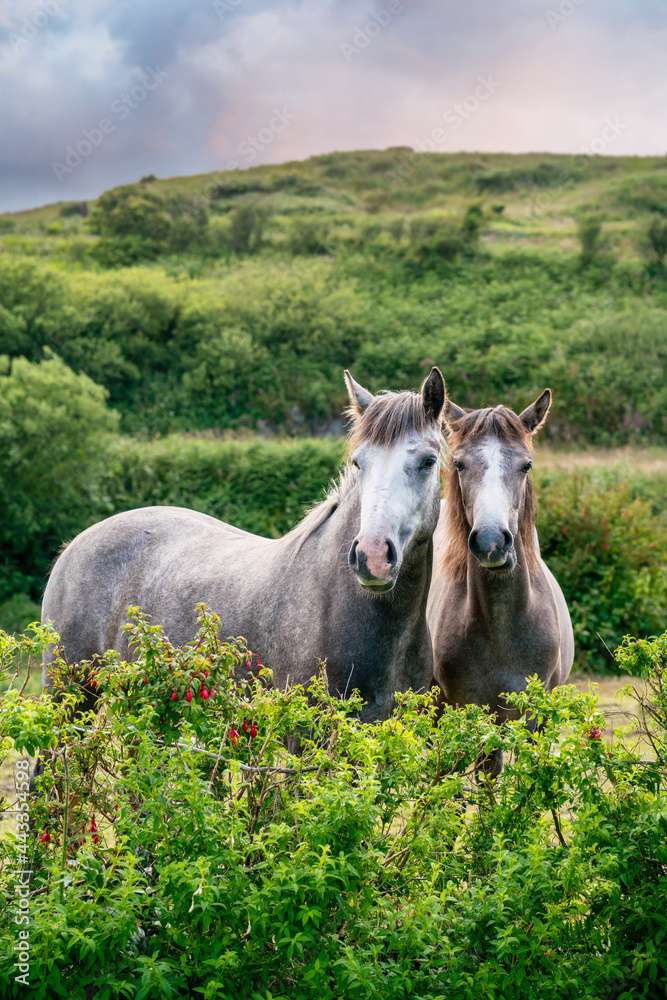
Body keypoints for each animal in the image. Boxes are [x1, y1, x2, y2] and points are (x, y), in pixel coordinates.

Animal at [428, 386, 576, 768]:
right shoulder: (478, 716)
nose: (491, 541)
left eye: (526, 464)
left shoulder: (537, 719)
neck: (502, 626)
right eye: (459, 463)